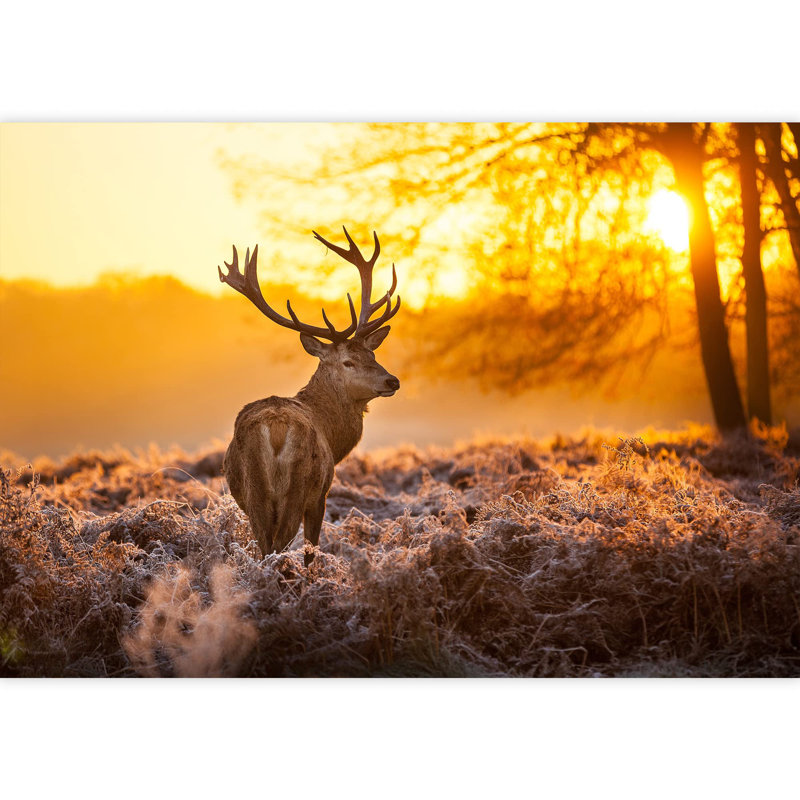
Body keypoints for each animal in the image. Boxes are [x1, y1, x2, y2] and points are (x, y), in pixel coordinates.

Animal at [218, 227, 401, 566]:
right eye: (348, 362)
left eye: (372, 354)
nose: (392, 380)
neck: (332, 433)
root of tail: (276, 429)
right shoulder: (321, 494)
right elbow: (311, 550)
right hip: (298, 486)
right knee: (279, 546)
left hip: (253, 492)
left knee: (265, 546)